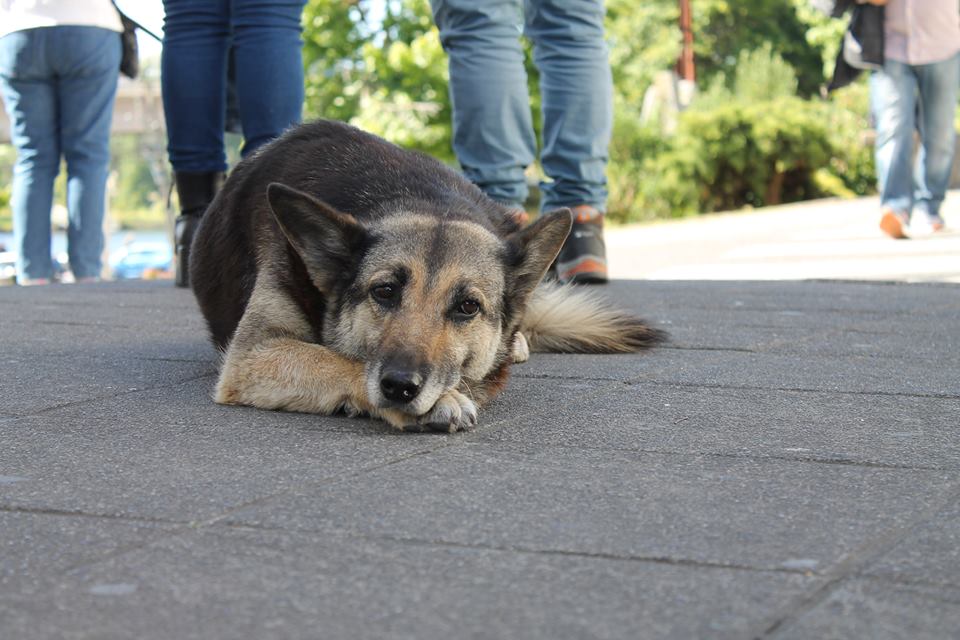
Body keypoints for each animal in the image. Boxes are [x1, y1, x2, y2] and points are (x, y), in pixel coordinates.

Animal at [191, 118, 664, 432]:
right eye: (384, 291)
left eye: (468, 307)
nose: (400, 387)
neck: (411, 194)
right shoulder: (254, 354)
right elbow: (336, 359)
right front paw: (441, 400)